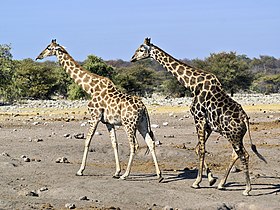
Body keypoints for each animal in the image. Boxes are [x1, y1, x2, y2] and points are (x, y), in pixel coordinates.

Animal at [35, 40, 162, 181]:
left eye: (48, 48)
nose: (38, 56)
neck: (90, 88)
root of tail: (143, 107)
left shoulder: (94, 116)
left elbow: (87, 141)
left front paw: (80, 170)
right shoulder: (108, 122)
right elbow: (114, 143)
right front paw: (116, 172)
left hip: (129, 124)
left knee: (134, 145)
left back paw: (126, 175)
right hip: (141, 124)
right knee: (150, 143)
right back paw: (159, 175)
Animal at [130, 37, 266, 195]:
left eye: (141, 49)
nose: (132, 58)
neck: (193, 85)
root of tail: (245, 119)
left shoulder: (198, 118)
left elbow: (201, 150)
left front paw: (197, 182)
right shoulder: (208, 125)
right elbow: (197, 149)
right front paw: (211, 179)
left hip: (233, 136)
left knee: (244, 154)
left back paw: (247, 189)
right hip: (236, 136)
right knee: (237, 154)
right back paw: (222, 184)